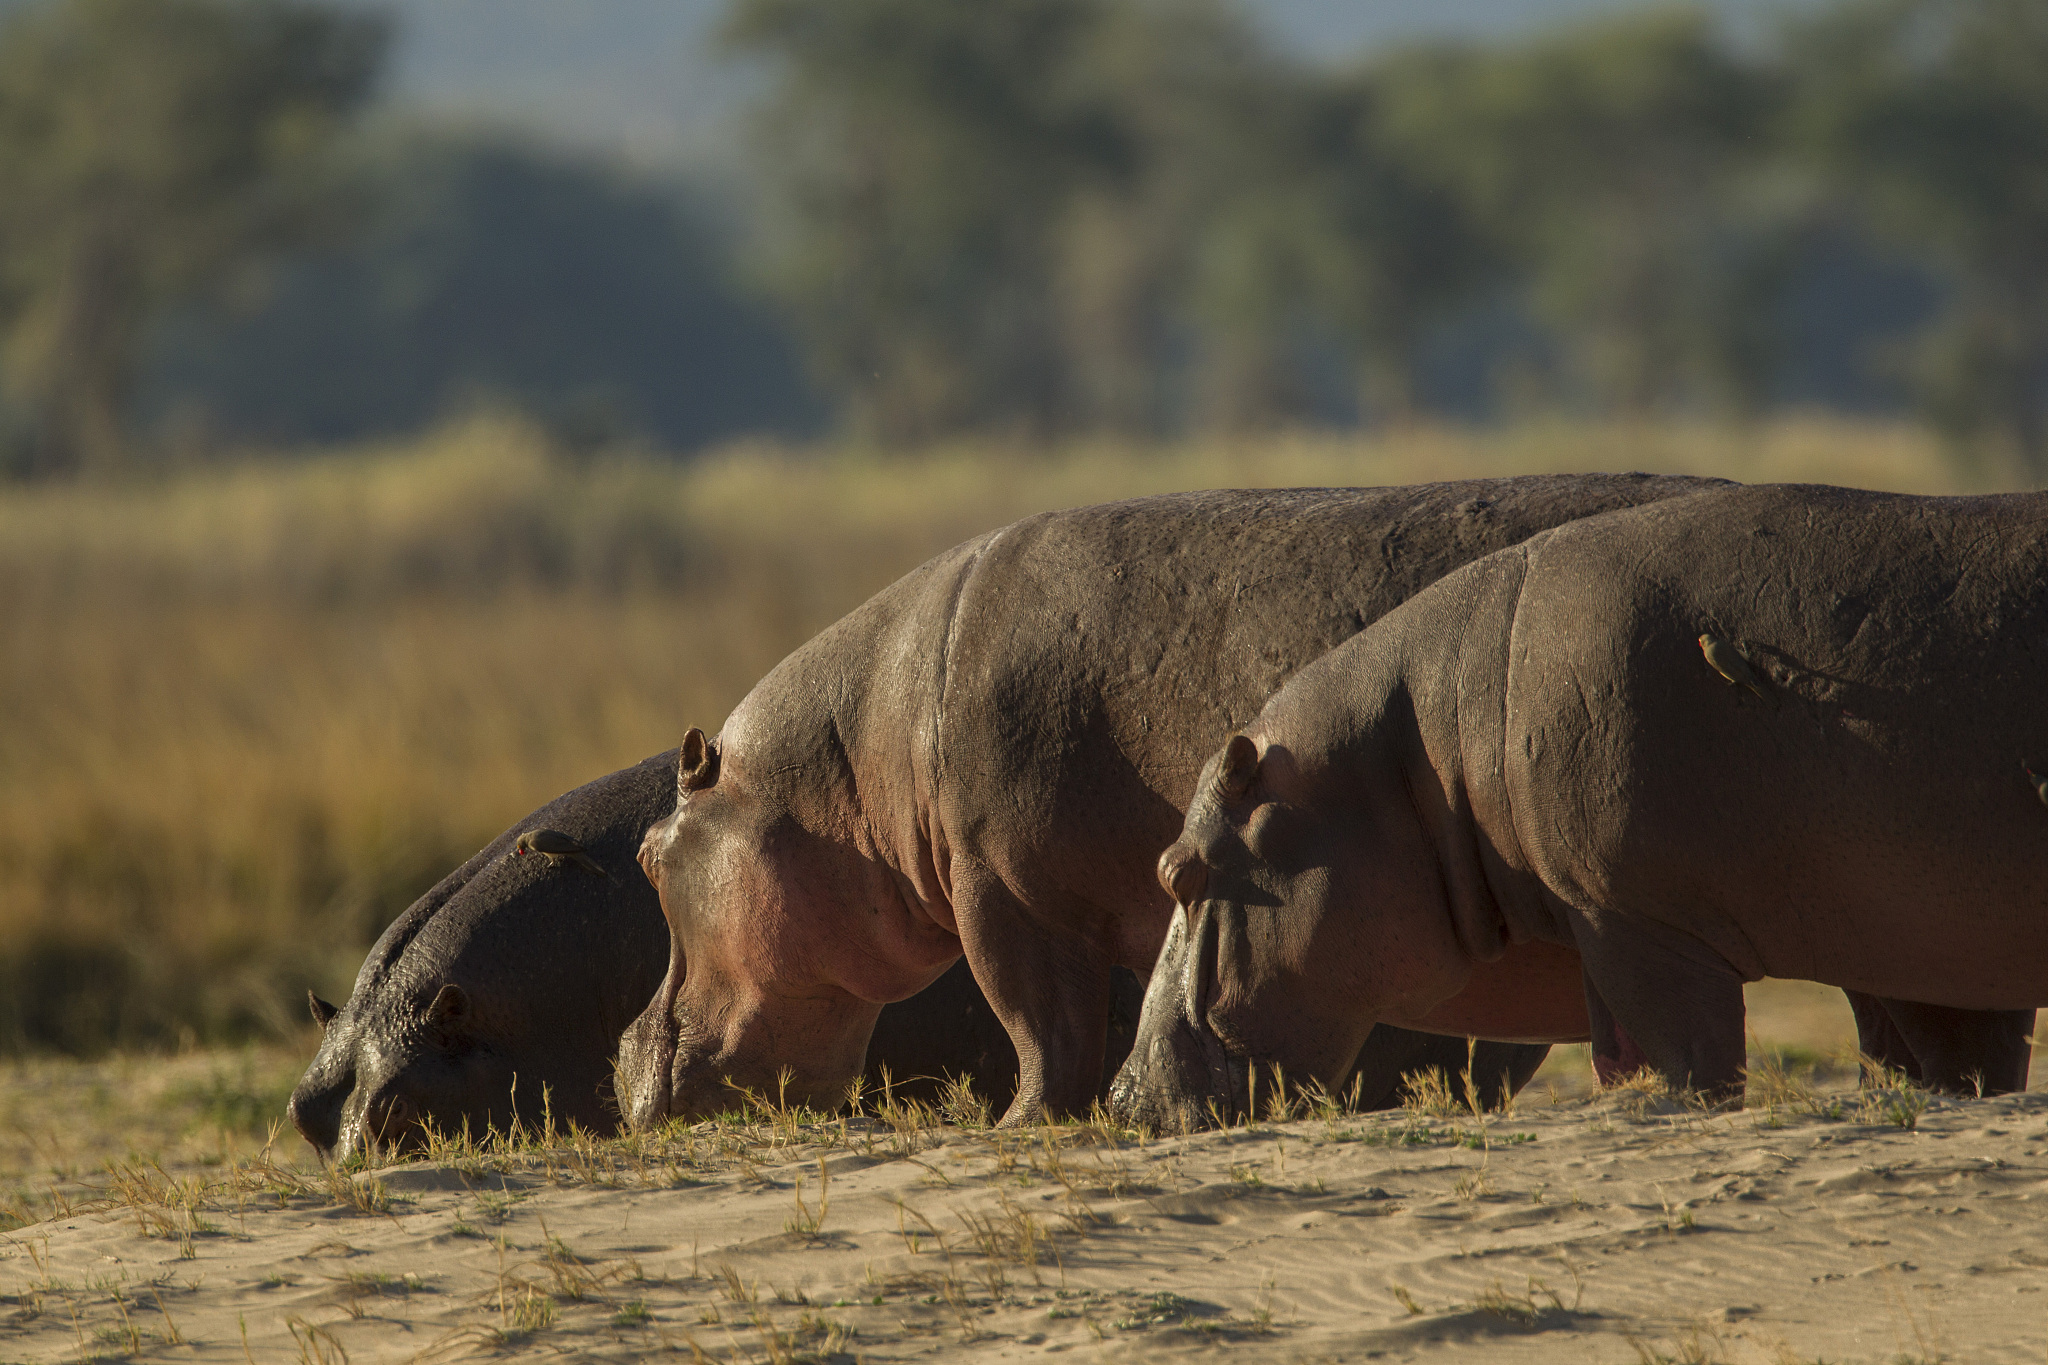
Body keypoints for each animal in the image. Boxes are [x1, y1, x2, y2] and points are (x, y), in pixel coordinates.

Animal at [620, 476, 1788, 1131]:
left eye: (647, 855)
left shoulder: (1003, 896)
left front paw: (1018, 1125)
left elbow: (1037, 1025)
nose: (619, 1050)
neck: (851, 759)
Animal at [1109, 483, 2043, 1126]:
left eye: (1178, 873)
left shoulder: (1645, 926)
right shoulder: (1605, 922)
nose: (1118, 1095)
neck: (1420, 754)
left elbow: (1686, 1061)